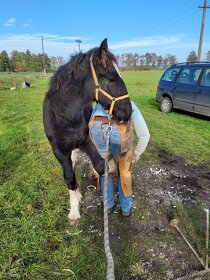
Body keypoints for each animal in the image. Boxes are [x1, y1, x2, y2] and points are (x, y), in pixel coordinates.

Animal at [42, 38, 131, 225]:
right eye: (111, 78)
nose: (128, 112)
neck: (64, 115)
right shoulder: (59, 151)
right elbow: (69, 177)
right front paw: (75, 210)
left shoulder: (84, 140)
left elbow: (101, 164)